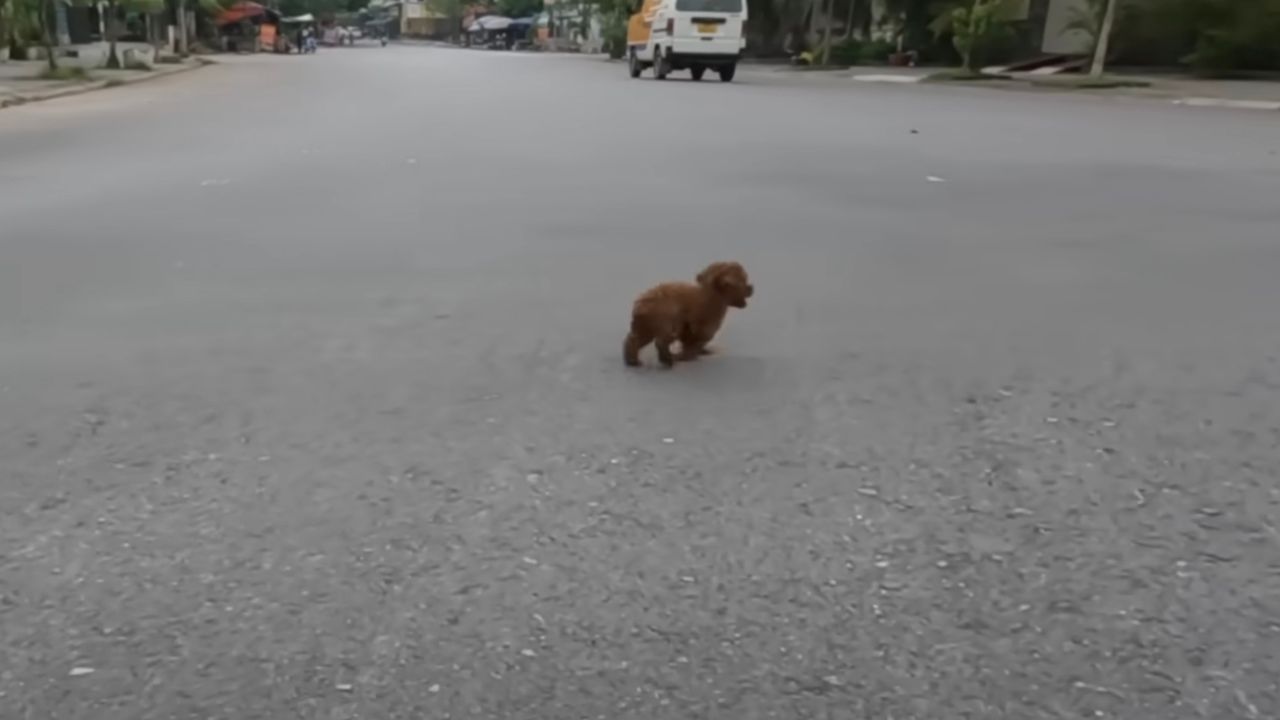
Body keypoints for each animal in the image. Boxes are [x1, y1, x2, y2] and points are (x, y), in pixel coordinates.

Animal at [619, 260, 747, 366]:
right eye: (745, 282)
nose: (750, 288)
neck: (713, 295)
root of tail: (641, 305)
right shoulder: (702, 321)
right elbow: (696, 339)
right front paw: (687, 356)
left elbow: (689, 339)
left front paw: (701, 351)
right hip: (663, 318)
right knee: (663, 338)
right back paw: (667, 360)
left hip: (646, 323)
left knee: (636, 338)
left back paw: (632, 360)